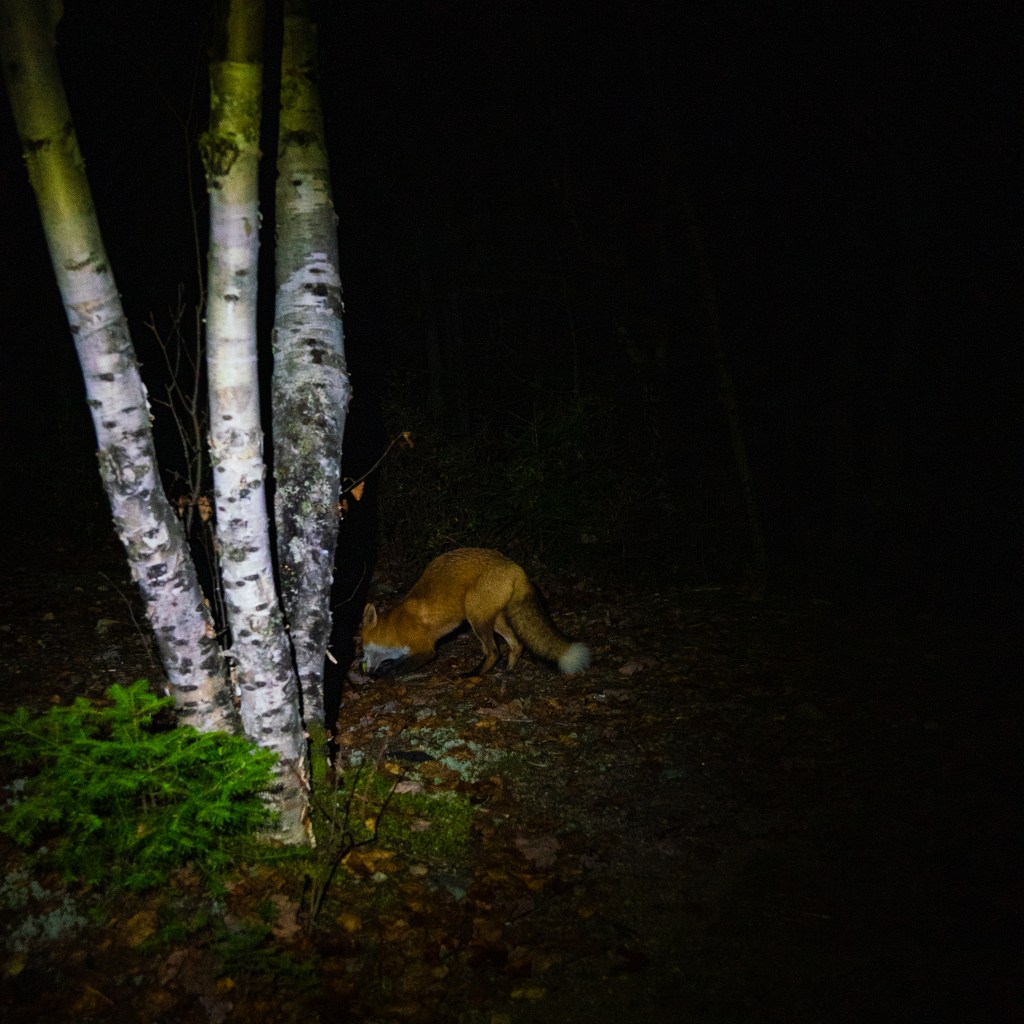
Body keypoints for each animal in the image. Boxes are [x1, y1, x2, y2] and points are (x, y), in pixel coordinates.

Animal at [360, 548, 591, 678]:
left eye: (361, 649)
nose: (365, 669)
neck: (395, 628)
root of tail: (515, 566)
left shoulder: (425, 649)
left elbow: (398, 667)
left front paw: (382, 676)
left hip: (475, 616)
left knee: (493, 651)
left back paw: (473, 674)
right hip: (493, 619)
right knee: (517, 644)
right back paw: (509, 669)